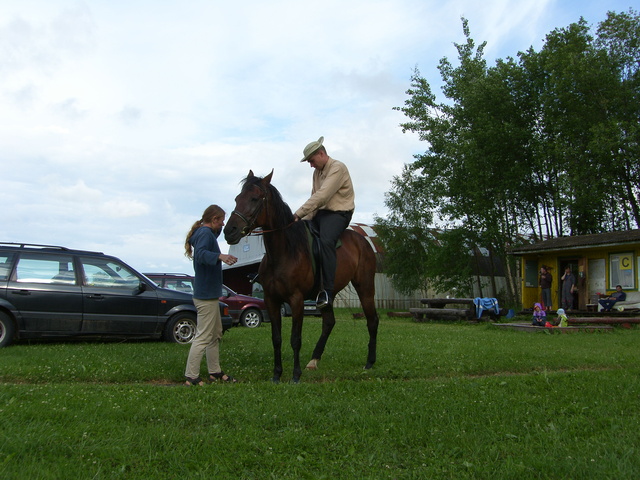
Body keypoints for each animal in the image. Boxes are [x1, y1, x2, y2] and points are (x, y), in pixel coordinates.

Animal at [224, 171, 378, 384]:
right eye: (237, 199)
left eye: (254, 199)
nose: (229, 231)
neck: (284, 252)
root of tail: (363, 241)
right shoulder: (271, 301)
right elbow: (276, 338)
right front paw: (277, 374)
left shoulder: (296, 300)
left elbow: (295, 339)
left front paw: (295, 375)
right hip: (328, 295)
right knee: (329, 323)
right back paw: (313, 361)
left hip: (365, 288)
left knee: (372, 320)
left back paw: (370, 362)